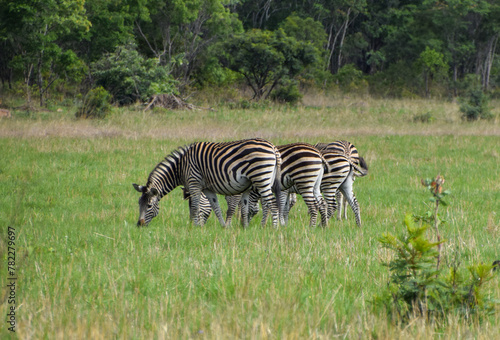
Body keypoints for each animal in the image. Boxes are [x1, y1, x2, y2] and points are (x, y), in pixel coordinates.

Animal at [132, 138, 282, 228]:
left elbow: (195, 207)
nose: (139, 225)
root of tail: (273, 147)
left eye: (149, 205)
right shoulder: (207, 189)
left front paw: (194, 227)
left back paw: (274, 228)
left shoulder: (194, 183)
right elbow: (215, 207)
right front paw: (223, 227)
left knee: (273, 204)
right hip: (261, 180)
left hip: (261, 178)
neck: (180, 167)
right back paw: (246, 227)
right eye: (139, 204)